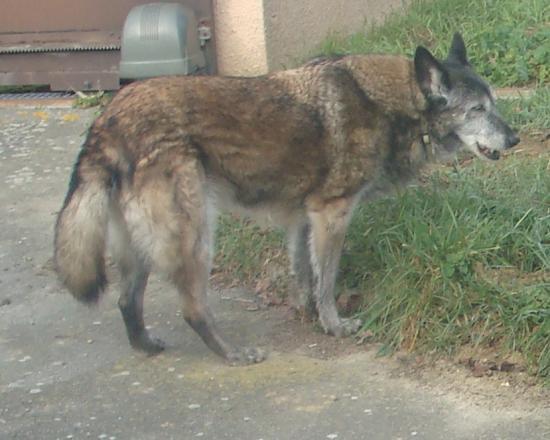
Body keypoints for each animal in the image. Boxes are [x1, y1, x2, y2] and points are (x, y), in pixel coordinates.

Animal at [55, 33, 520, 364]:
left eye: (493, 104)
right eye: (477, 110)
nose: (515, 139)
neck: (392, 104)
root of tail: (108, 120)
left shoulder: (303, 219)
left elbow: (304, 275)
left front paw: (306, 313)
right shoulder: (332, 215)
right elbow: (326, 281)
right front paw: (334, 325)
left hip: (140, 247)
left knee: (126, 300)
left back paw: (146, 346)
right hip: (196, 236)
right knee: (192, 308)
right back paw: (232, 355)